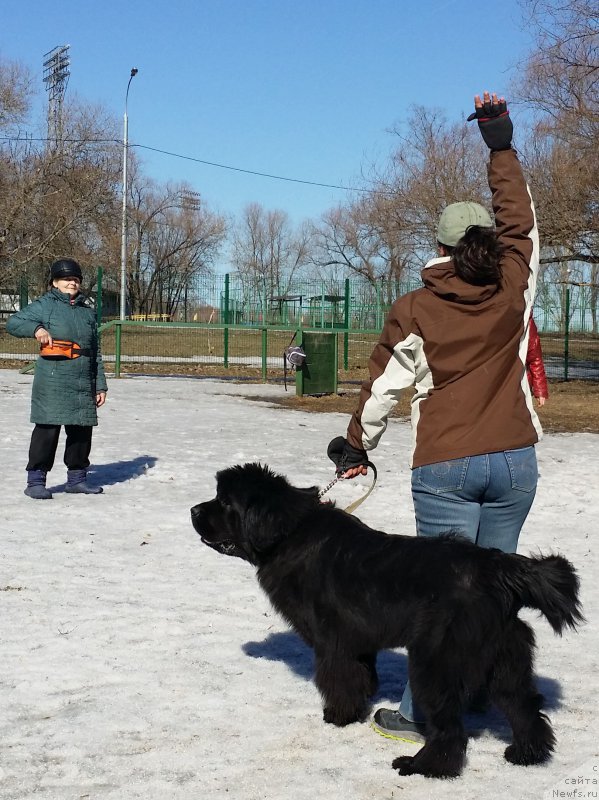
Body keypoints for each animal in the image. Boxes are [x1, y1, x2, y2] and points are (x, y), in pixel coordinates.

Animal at [191, 460, 580, 780]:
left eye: (225, 502)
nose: (193, 509)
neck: (289, 534)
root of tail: (498, 569)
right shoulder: (358, 641)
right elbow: (361, 675)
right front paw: (356, 708)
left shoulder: (334, 640)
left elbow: (338, 678)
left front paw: (338, 716)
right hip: (505, 661)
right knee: (524, 708)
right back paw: (527, 755)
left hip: (435, 662)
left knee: (451, 729)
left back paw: (424, 767)